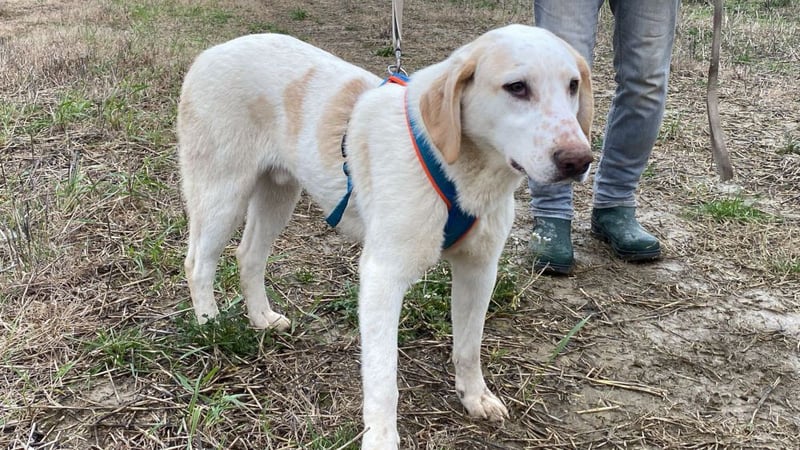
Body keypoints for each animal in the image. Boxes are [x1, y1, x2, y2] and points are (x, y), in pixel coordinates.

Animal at [177, 24, 593, 449]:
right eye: (517, 87)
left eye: (573, 85)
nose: (579, 160)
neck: (458, 168)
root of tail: (211, 53)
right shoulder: (383, 276)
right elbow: (383, 380)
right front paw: (380, 438)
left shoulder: (479, 270)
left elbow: (469, 347)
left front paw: (474, 396)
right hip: (222, 193)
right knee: (198, 262)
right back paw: (211, 326)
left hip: (278, 194)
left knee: (249, 255)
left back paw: (261, 317)